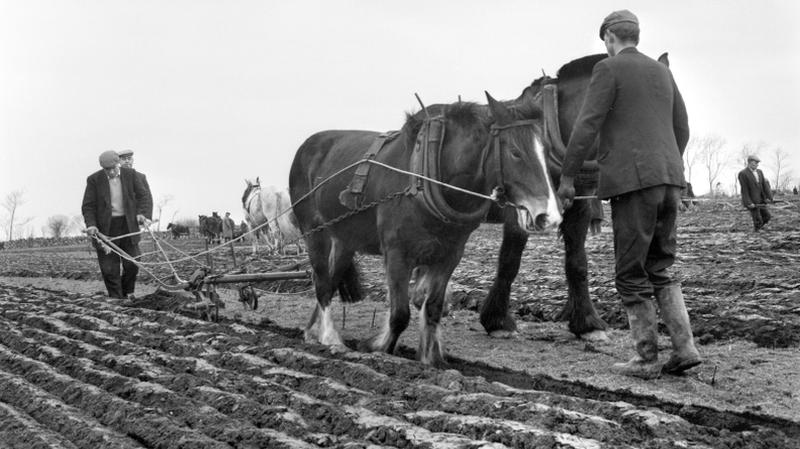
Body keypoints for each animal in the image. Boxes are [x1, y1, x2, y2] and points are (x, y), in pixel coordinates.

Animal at [290, 93, 560, 364]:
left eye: (547, 152)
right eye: (515, 152)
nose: (548, 216)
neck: (428, 179)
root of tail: (307, 145)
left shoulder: (449, 256)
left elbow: (432, 309)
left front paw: (432, 359)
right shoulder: (397, 253)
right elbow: (400, 314)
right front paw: (378, 348)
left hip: (345, 239)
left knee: (331, 280)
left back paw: (313, 331)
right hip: (314, 232)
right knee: (322, 282)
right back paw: (330, 338)